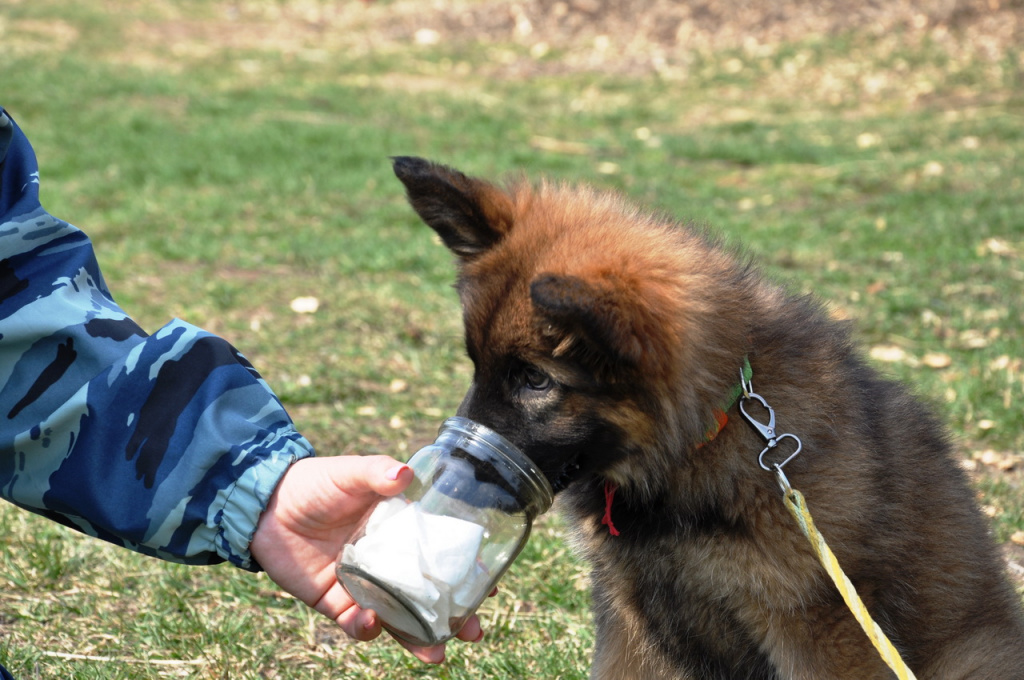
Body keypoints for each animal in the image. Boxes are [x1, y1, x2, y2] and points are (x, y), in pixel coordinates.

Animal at [391, 155, 1024, 680]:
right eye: (478, 365)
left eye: (535, 380)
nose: (457, 480)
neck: (700, 443)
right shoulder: (630, 621)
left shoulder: (821, 631)